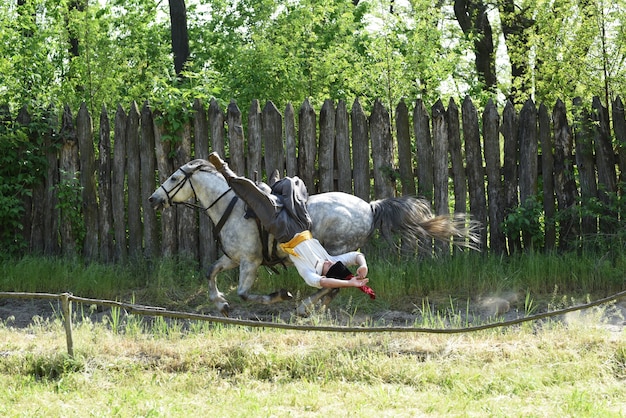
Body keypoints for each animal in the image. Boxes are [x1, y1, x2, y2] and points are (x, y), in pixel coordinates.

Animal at [150, 158, 478, 316]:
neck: (231, 206)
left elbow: (243, 292)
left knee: (333, 286)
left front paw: (280, 296)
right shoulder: (232, 258)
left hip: (337, 247)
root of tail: (370, 207)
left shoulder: (250, 262)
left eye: (175, 178)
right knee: (335, 288)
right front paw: (220, 304)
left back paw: (304, 307)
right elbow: (210, 272)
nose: (154, 199)